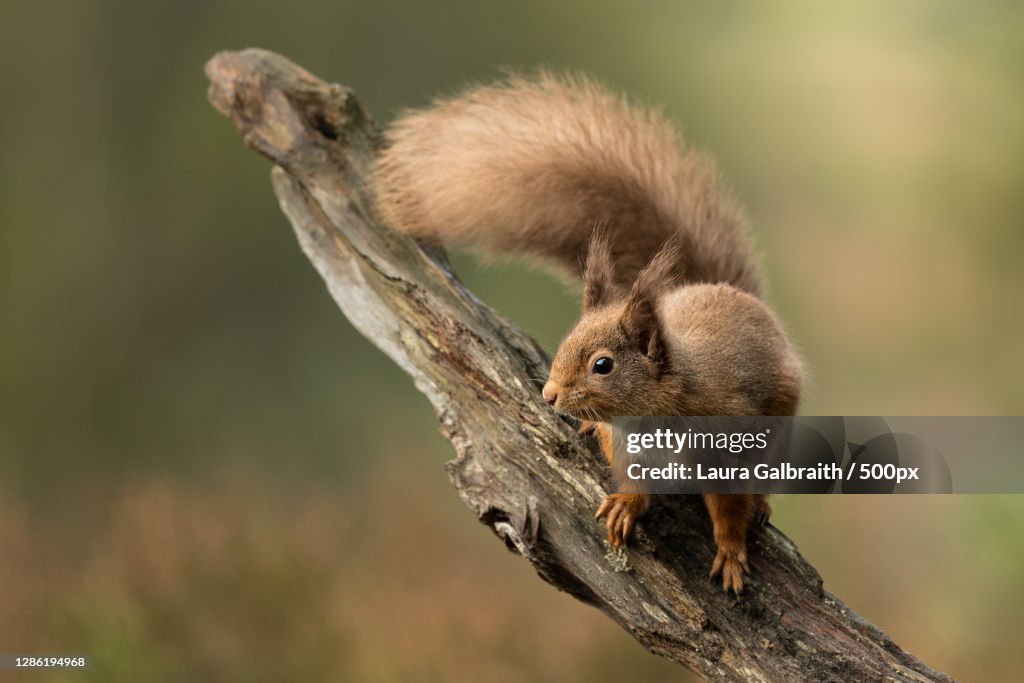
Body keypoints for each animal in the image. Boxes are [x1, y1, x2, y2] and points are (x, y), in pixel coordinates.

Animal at [372, 70, 802, 593]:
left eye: (602, 365)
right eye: (562, 347)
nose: (550, 395)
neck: (657, 409)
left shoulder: (727, 436)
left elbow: (728, 509)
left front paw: (732, 553)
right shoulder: (627, 445)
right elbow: (632, 479)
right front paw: (626, 507)